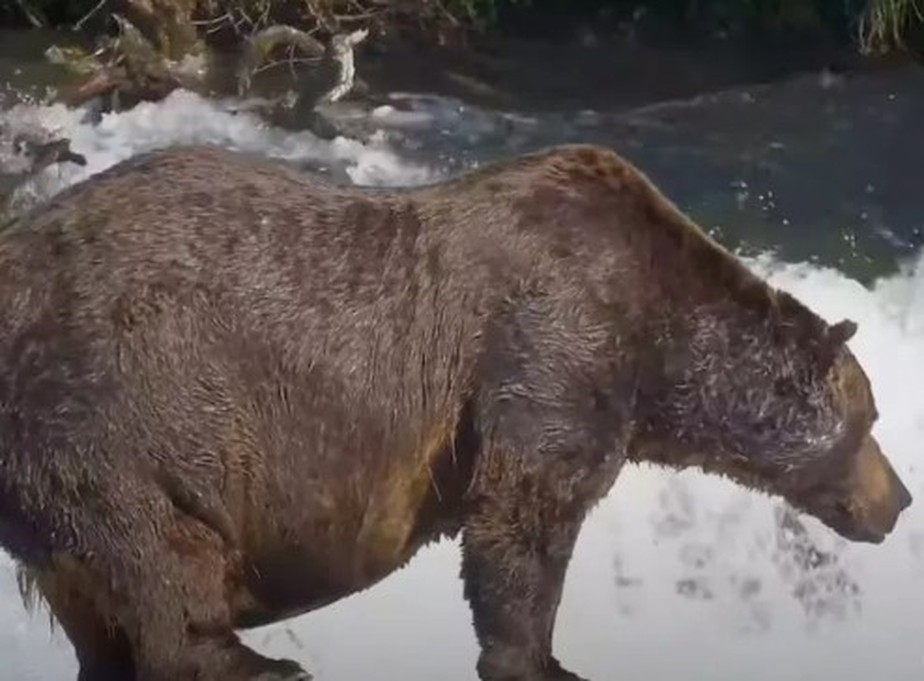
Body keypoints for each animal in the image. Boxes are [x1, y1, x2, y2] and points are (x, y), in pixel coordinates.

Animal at [0, 143, 912, 681]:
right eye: (870, 423)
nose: (900, 500)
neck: (658, 340)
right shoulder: (552, 344)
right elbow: (523, 519)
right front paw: (540, 658)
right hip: (107, 407)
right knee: (159, 555)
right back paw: (253, 659)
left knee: (99, 593)